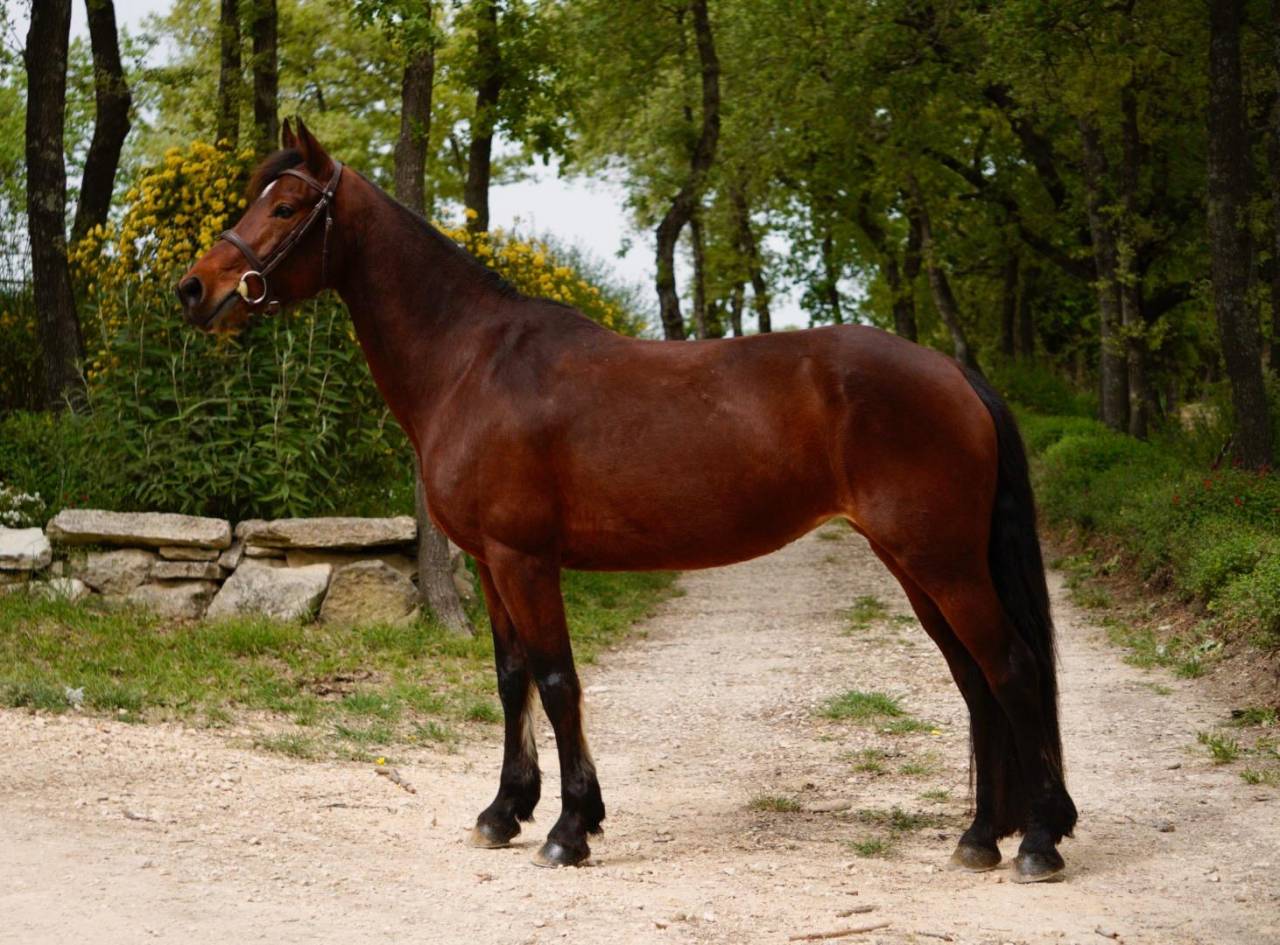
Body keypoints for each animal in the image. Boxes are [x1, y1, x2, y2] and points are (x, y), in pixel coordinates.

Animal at [177, 119, 1077, 881]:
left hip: (943, 561)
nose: (194, 289)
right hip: (917, 564)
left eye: (286, 204)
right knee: (976, 680)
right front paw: (505, 810)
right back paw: (981, 834)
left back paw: (1036, 839)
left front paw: (570, 828)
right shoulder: (490, 564)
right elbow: (512, 679)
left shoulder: (525, 559)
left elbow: (558, 681)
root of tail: (952, 371)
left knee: (1011, 666)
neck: (471, 361)